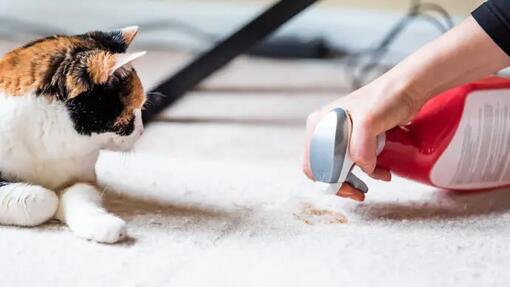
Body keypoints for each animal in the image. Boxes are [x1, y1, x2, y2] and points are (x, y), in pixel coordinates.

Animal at [0, 26, 145, 243]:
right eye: (133, 111)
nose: (142, 131)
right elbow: (45, 199)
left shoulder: (83, 177)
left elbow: (78, 196)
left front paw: (105, 225)